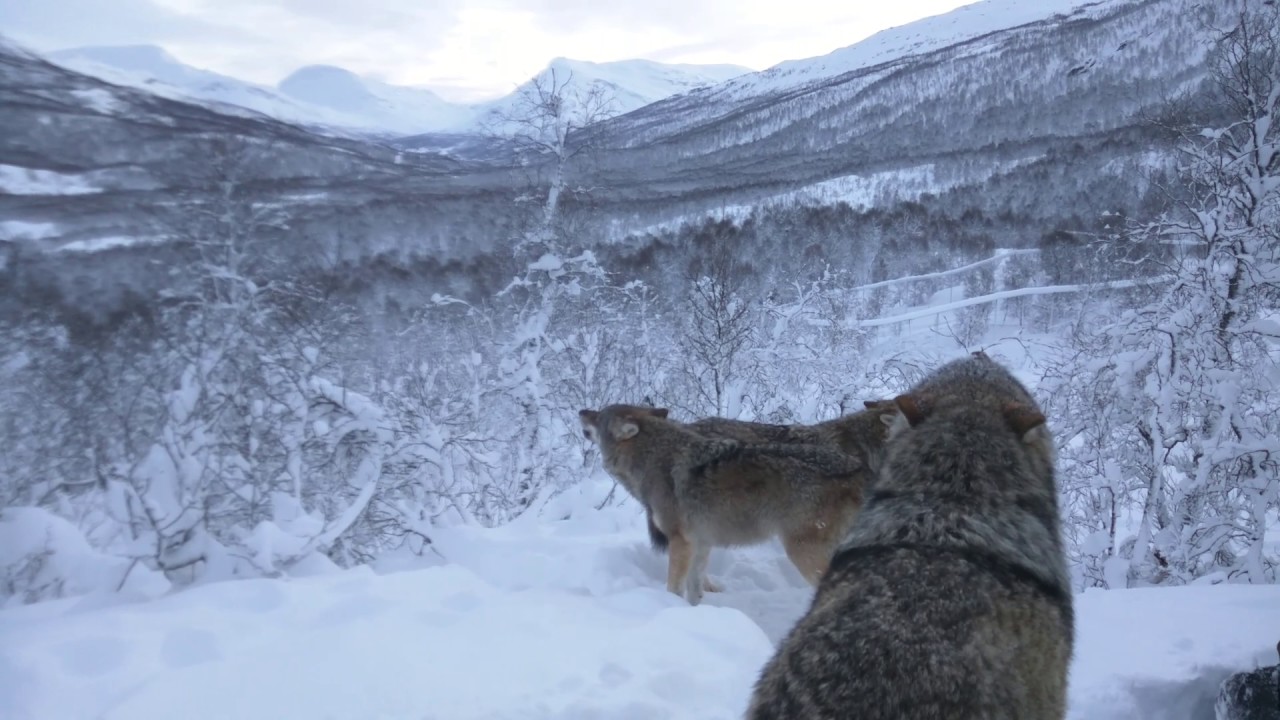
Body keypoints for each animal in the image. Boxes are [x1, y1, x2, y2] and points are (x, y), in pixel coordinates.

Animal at [580, 404, 866, 605]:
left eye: (598, 414)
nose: (581, 411)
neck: (654, 459)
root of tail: (858, 469)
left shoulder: (681, 542)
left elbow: (674, 587)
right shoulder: (701, 544)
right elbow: (694, 590)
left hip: (802, 554)